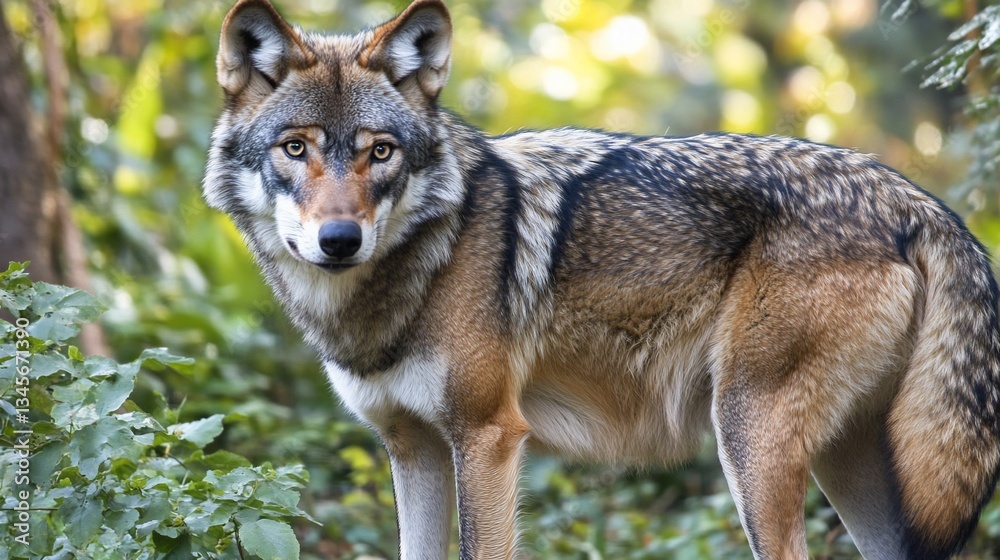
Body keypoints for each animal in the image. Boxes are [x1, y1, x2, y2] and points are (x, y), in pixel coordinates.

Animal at [203, 0, 1000, 558]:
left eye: (380, 152)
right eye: (295, 148)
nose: (339, 240)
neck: (428, 259)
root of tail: (918, 202)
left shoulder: (488, 437)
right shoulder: (413, 448)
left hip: (750, 437)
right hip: (849, 465)